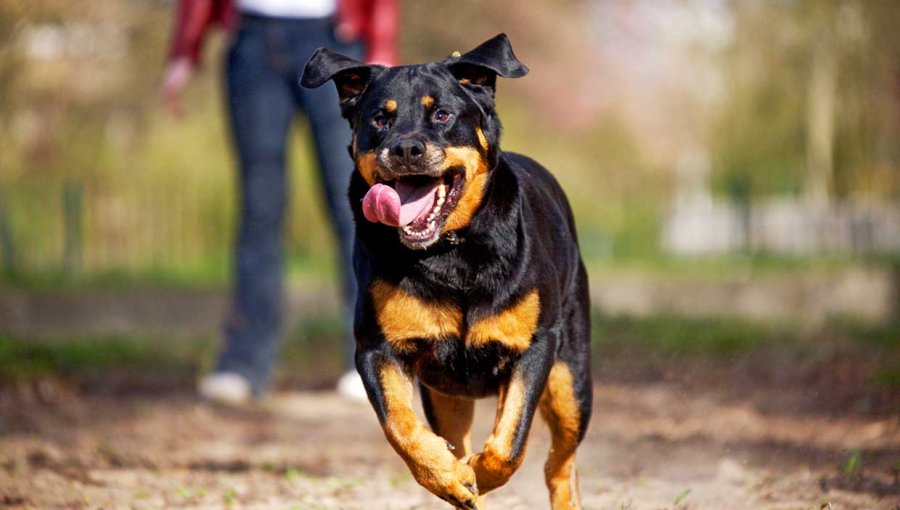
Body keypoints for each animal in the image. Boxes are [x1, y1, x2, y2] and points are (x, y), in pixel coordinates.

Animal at [302, 33, 596, 508]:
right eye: (379, 119)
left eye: (441, 114)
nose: (406, 148)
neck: (450, 252)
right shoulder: (377, 348)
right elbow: (401, 426)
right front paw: (451, 477)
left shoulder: (535, 345)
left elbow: (509, 442)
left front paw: (479, 474)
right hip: (446, 393)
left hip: (571, 379)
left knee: (561, 462)